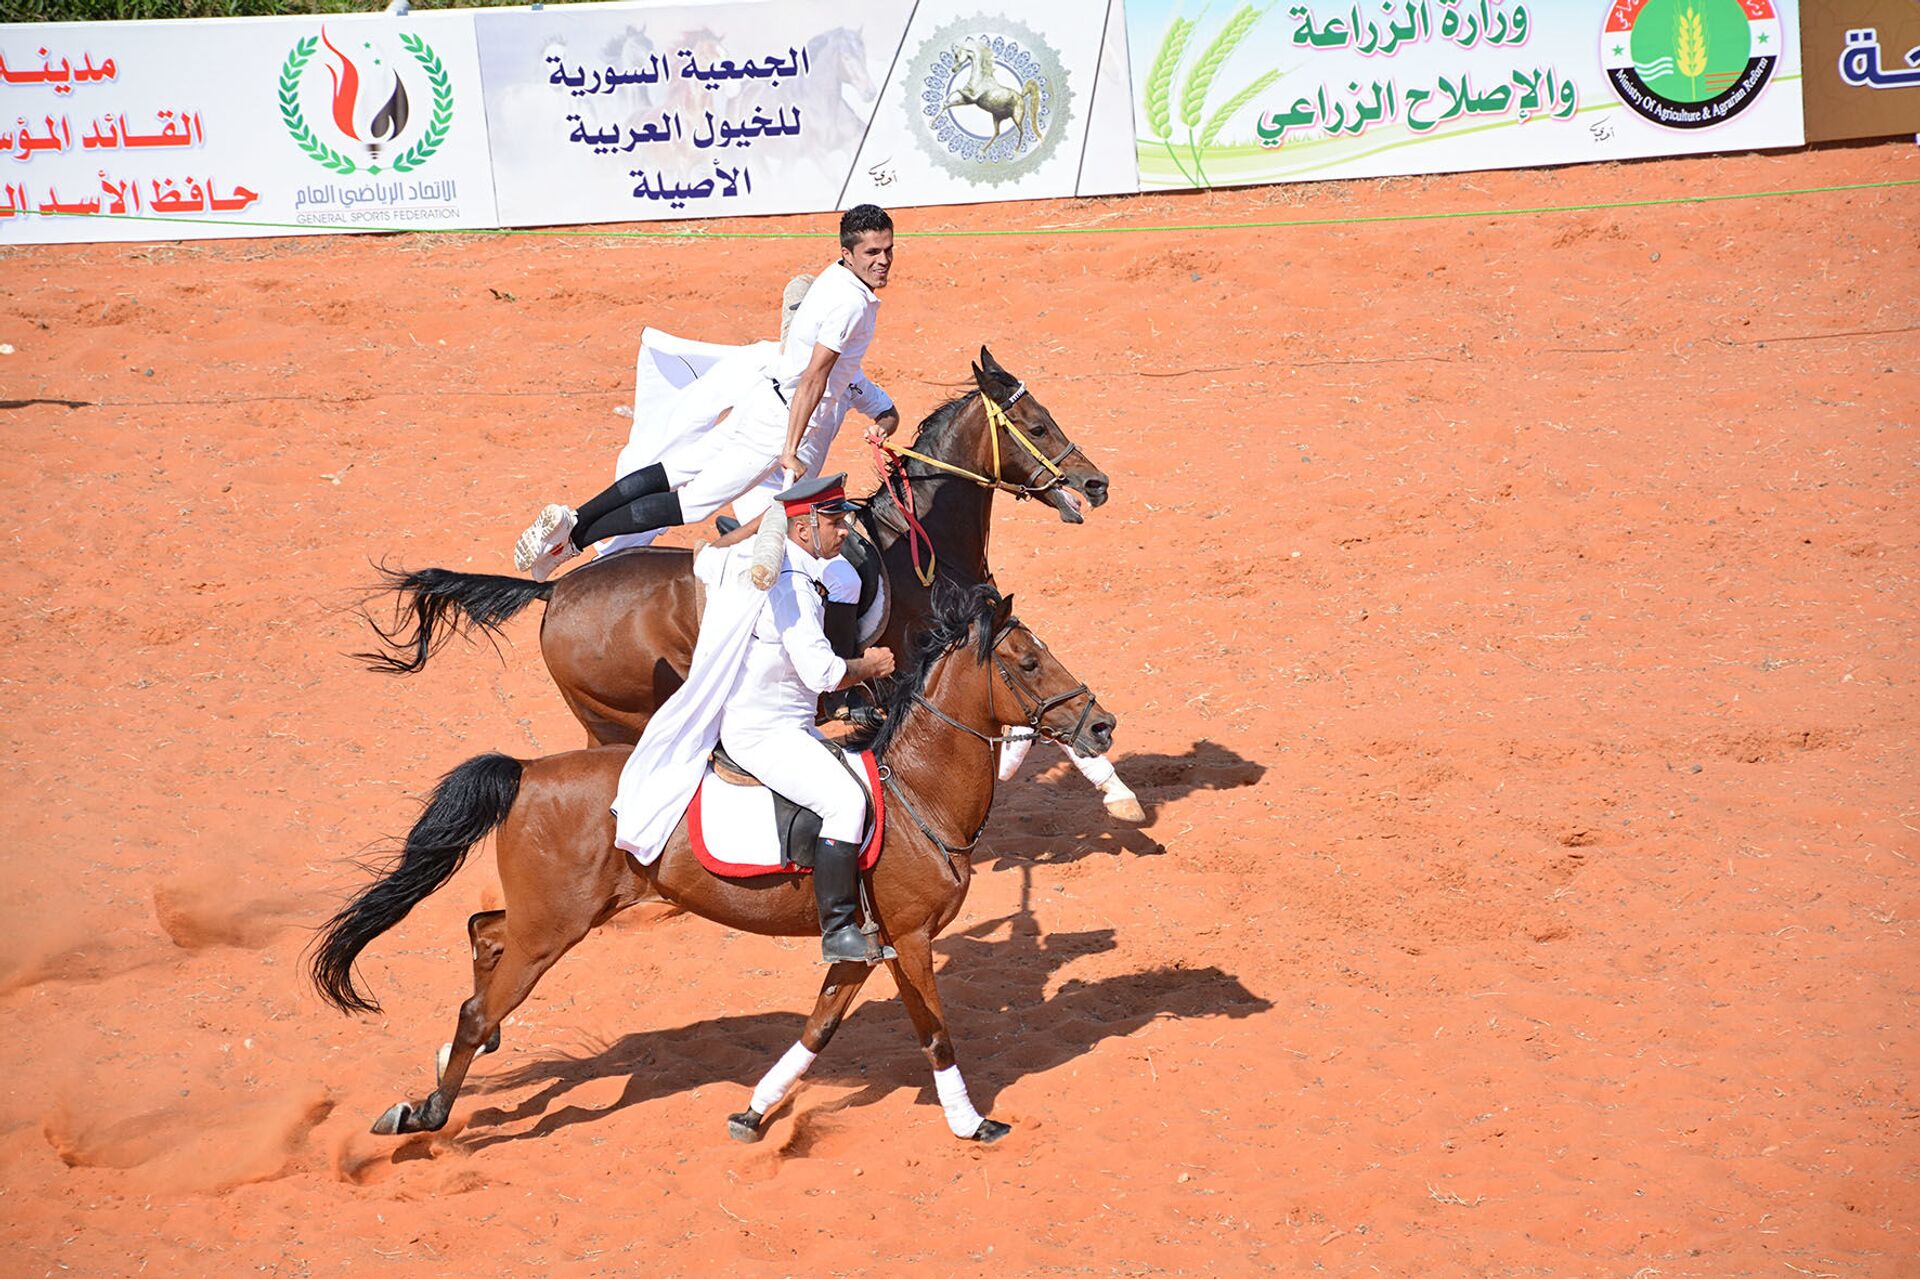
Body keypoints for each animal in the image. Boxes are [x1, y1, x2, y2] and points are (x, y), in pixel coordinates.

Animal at [311, 583, 1113, 1136]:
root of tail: (528, 771)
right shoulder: (910, 940)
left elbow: (818, 1028)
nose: (1101, 723)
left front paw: (755, 1112)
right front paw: (971, 1123)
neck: (917, 792)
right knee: (480, 1005)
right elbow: (937, 1034)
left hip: (555, 915)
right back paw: (427, 1112)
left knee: (484, 932)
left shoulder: (865, 944)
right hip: (554, 928)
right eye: (1030, 662)